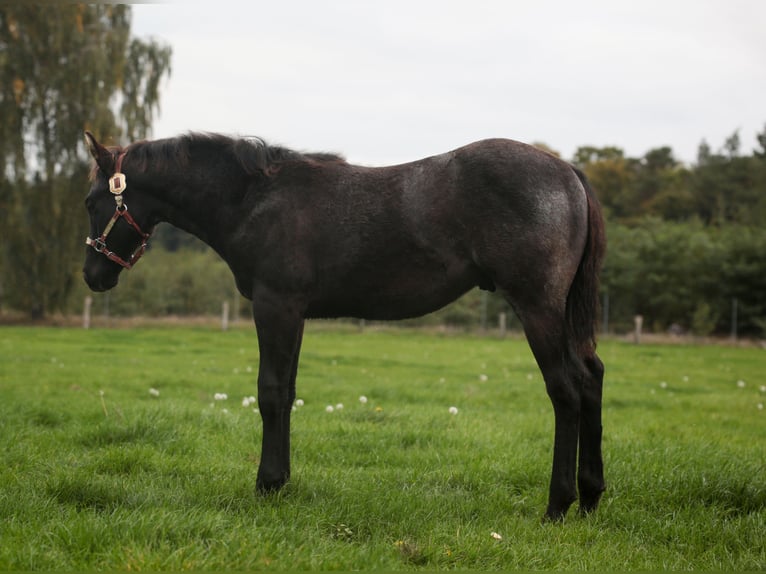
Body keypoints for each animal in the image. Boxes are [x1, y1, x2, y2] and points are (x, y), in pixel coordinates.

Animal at [82, 131, 606, 521]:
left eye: (91, 202)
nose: (93, 275)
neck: (255, 200)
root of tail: (569, 173)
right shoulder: (293, 314)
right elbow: (287, 393)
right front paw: (281, 482)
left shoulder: (275, 307)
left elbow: (270, 392)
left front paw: (266, 485)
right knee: (591, 378)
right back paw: (590, 496)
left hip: (537, 307)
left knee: (565, 390)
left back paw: (558, 505)